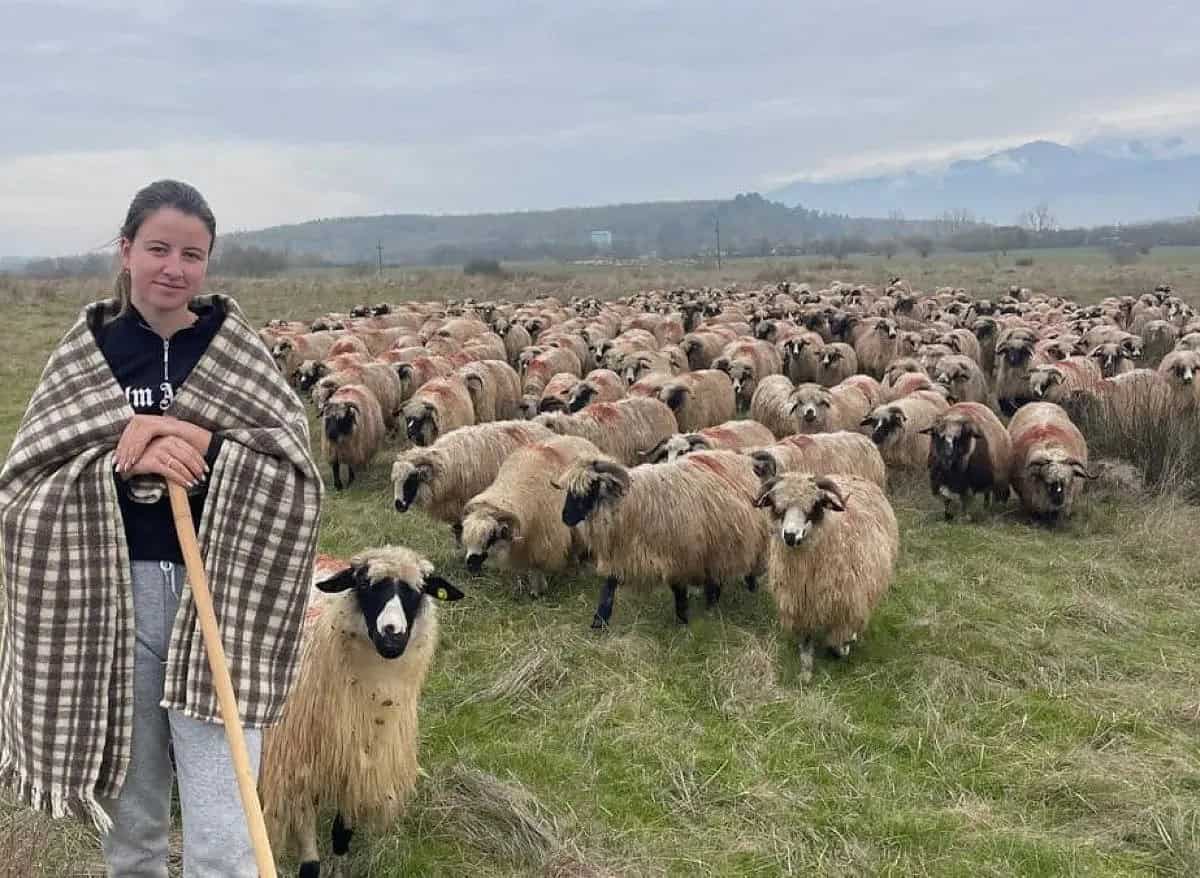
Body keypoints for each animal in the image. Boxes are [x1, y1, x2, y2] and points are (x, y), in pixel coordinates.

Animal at [456, 434, 597, 592]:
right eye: (466, 534)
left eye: (491, 536)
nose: (471, 564)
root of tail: (581, 439)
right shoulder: (528, 542)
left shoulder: (544, 538)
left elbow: (538, 565)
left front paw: (539, 589)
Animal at [554, 448, 763, 628]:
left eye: (591, 487)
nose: (565, 517)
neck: (631, 502)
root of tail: (741, 459)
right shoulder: (623, 553)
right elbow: (608, 588)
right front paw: (599, 622)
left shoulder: (679, 556)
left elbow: (679, 590)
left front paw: (682, 621)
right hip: (715, 547)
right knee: (714, 579)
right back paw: (711, 605)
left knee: (744, 570)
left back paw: (745, 594)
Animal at [753, 477, 897, 681]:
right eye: (777, 506)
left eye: (814, 504)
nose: (790, 536)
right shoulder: (800, 604)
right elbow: (805, 643)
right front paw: (805, 673)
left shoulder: (847, 602)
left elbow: (840, 637)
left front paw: (843, 648)